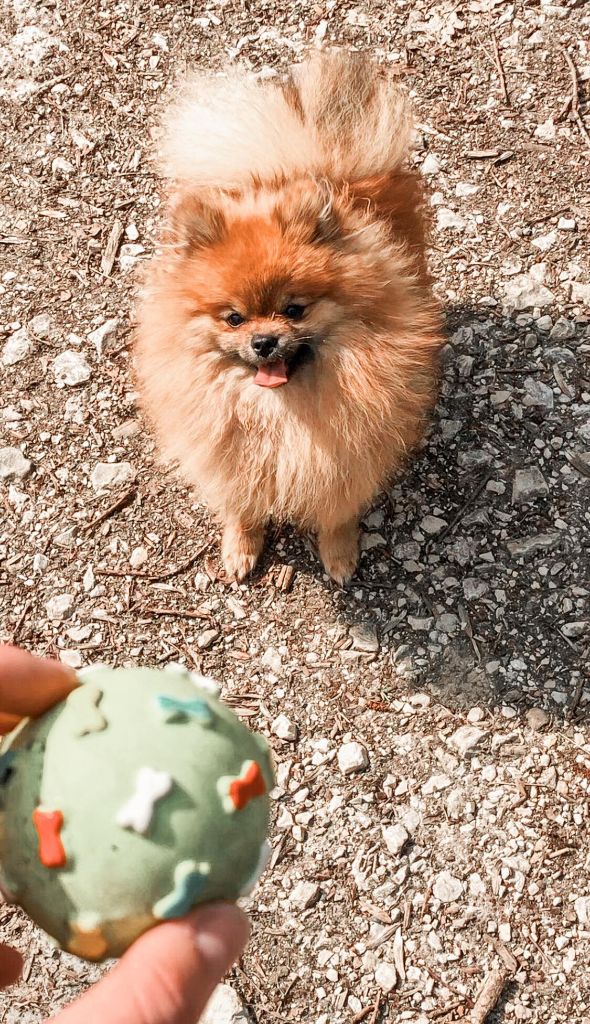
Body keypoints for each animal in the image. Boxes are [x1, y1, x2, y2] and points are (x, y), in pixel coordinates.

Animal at [137, 51, 442, 585]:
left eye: (294, 310)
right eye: (233, 319)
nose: (264, 342)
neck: (281, 413)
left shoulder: (346, 458)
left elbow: (337, 513)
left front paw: (339, 554)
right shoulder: (230, 459)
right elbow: (239, 505)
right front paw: (240, 547)